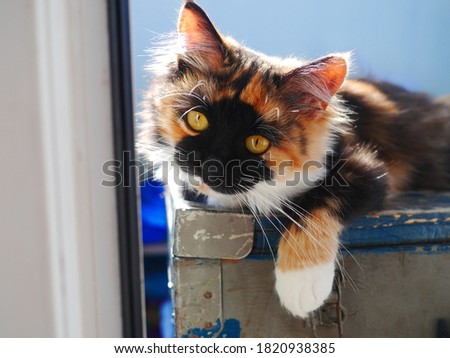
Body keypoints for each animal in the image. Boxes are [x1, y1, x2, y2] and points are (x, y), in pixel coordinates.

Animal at [137, 1, 450, 318]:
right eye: (198, 120)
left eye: (257, 143)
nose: (210, 168)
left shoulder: (369, 169)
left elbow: (318, 202)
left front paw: (301, 281)